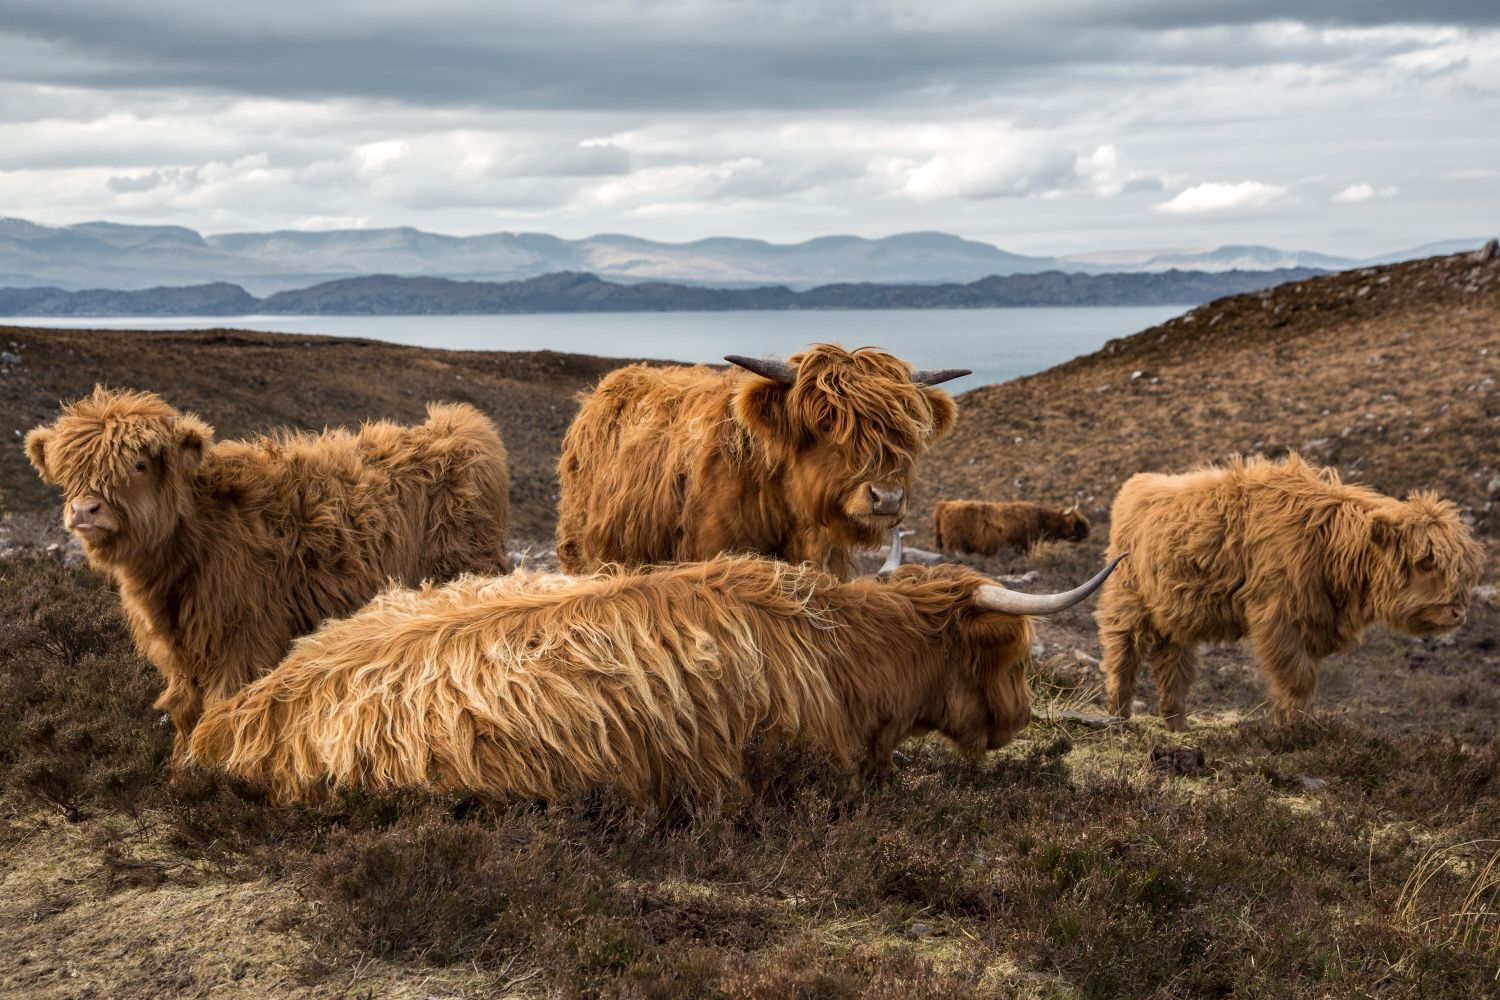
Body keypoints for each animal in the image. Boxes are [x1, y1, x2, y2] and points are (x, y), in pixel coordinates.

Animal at [23, 386, 513, 755]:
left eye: (139, 465)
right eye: (70, 472)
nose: (85, 510)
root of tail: (457, 427)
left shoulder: (244, 635)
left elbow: (221, 706)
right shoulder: (178, 647)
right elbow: (184, 707)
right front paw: (180, 770)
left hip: (467, 569)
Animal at [924, 497, 1092, 560]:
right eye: (1078, 522)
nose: (1088, 531)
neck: (1040, 520)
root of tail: (945, 504)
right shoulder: (1024, 546)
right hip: (955, 545)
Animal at [1098, 452, 1482, 728]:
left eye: (1462, 566)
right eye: (1426, 562)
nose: (1458, 611)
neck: (1329, 543)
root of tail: (1138, 482)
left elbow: (1304, 680)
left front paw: (1295, 726)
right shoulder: (1279, 617)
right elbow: (1297, 678)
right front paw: (1291, 732)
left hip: (1175, 613)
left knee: (1174, 667)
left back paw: (1178, 728)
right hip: (1125, 600)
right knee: (1122, 659)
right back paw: (1118, 719)